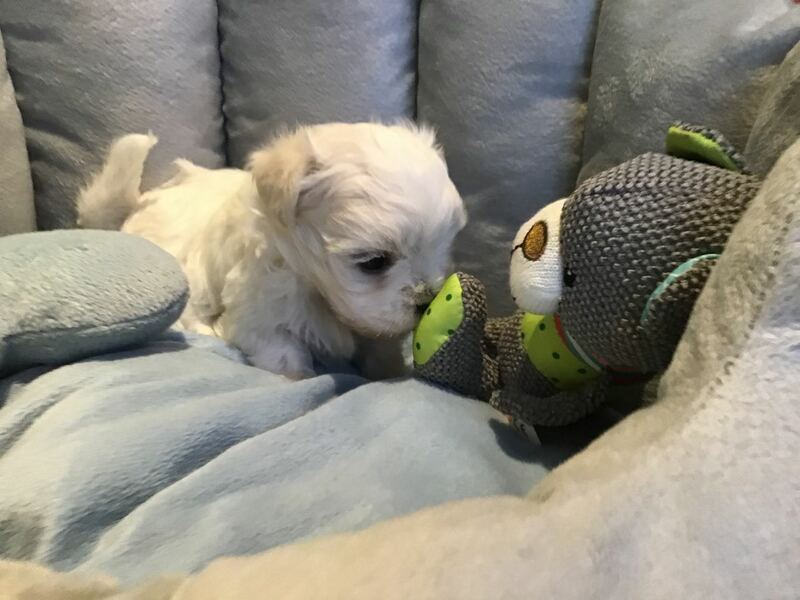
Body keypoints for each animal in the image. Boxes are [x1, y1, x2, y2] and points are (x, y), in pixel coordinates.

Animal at [77, 122, 467, 379]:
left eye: (444, 247)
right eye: (373, 262)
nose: (427, 301)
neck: (314, 285)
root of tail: (141, 203)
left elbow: (380, 347)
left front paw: (389, 371)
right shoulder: (261, 314)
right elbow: (284, 355)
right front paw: (301, 378)